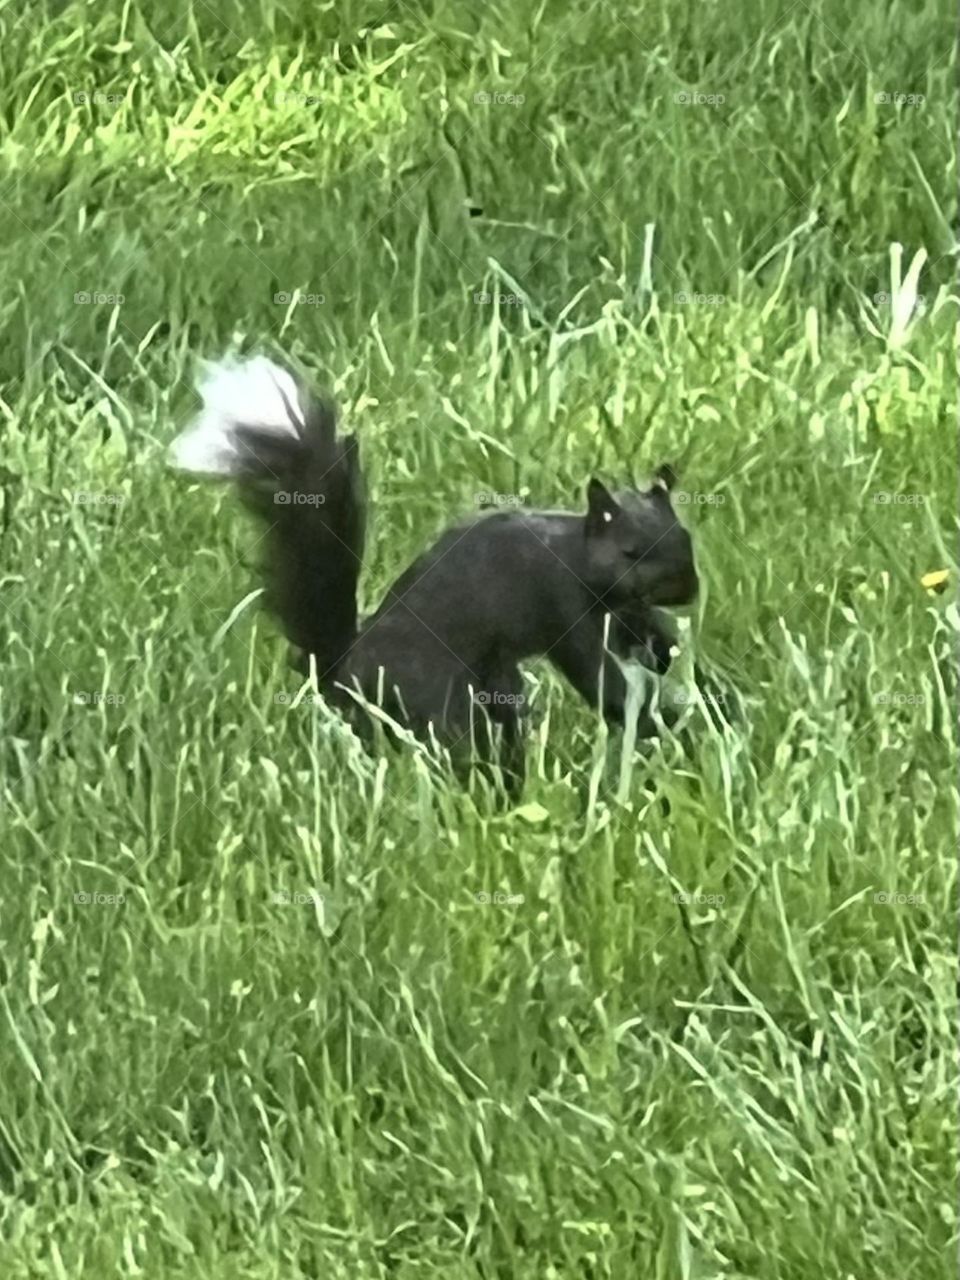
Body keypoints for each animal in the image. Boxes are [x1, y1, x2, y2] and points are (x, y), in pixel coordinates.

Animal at [169, 355, 699, 793]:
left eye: (686, 538)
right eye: (630, 551)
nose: (688, 590)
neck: (577, 556)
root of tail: (345, 672)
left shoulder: (623, 609)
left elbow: (644, 634)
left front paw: (669, 657)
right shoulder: (561, 603)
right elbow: (598, 676)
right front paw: (663, 722)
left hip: (495, 683)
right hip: (438, 691)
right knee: (461, 739)